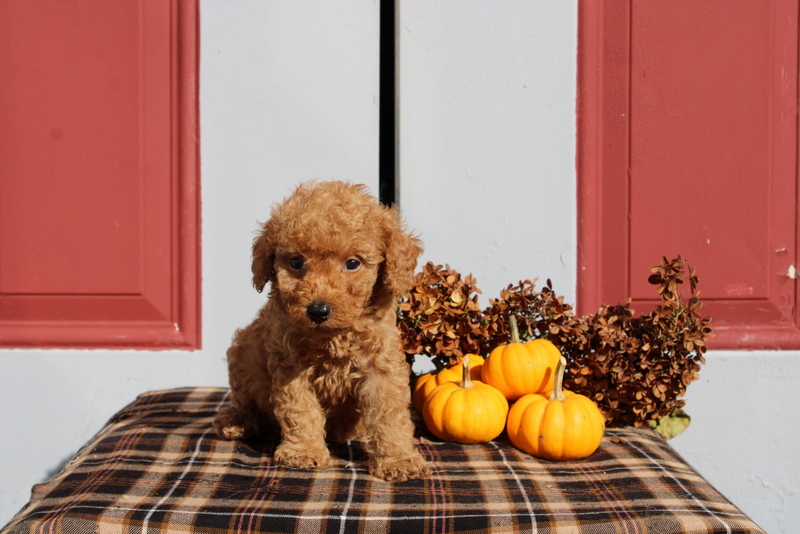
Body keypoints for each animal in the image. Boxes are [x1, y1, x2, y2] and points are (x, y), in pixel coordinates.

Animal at [209, 182, 428, 484]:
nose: (318, 310)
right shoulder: (291, 364)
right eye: (296, 262)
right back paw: (236, 421)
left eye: (352, 263)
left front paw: (398, 459)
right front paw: (303, 451)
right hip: (242, 353)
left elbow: (389, 413)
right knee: (244, 400)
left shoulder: (380, 364)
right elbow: (300, 409)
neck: (333, 337)